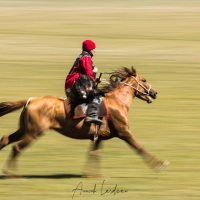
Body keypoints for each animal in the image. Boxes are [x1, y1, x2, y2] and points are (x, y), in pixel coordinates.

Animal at [0, 67, 169, 177]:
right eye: (144, 80)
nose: (155, 93)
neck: (118, 101)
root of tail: (31, 100)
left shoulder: (100, 137)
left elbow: (93, 154)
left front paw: (91, 175)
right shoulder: (124, 132)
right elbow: (139, 148)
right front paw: (160, 165)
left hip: (24, 130)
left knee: (5, 139)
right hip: (34, 132)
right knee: (16, 148)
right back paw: (12, 174)